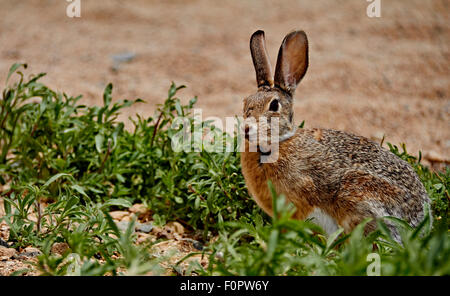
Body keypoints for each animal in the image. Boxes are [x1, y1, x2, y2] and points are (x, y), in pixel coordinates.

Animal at [241, 29, 430, 240]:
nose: (246, 129)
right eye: (246, 102)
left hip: (358, 196)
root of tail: (418, 224)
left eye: (274, 105)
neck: (277, 143)